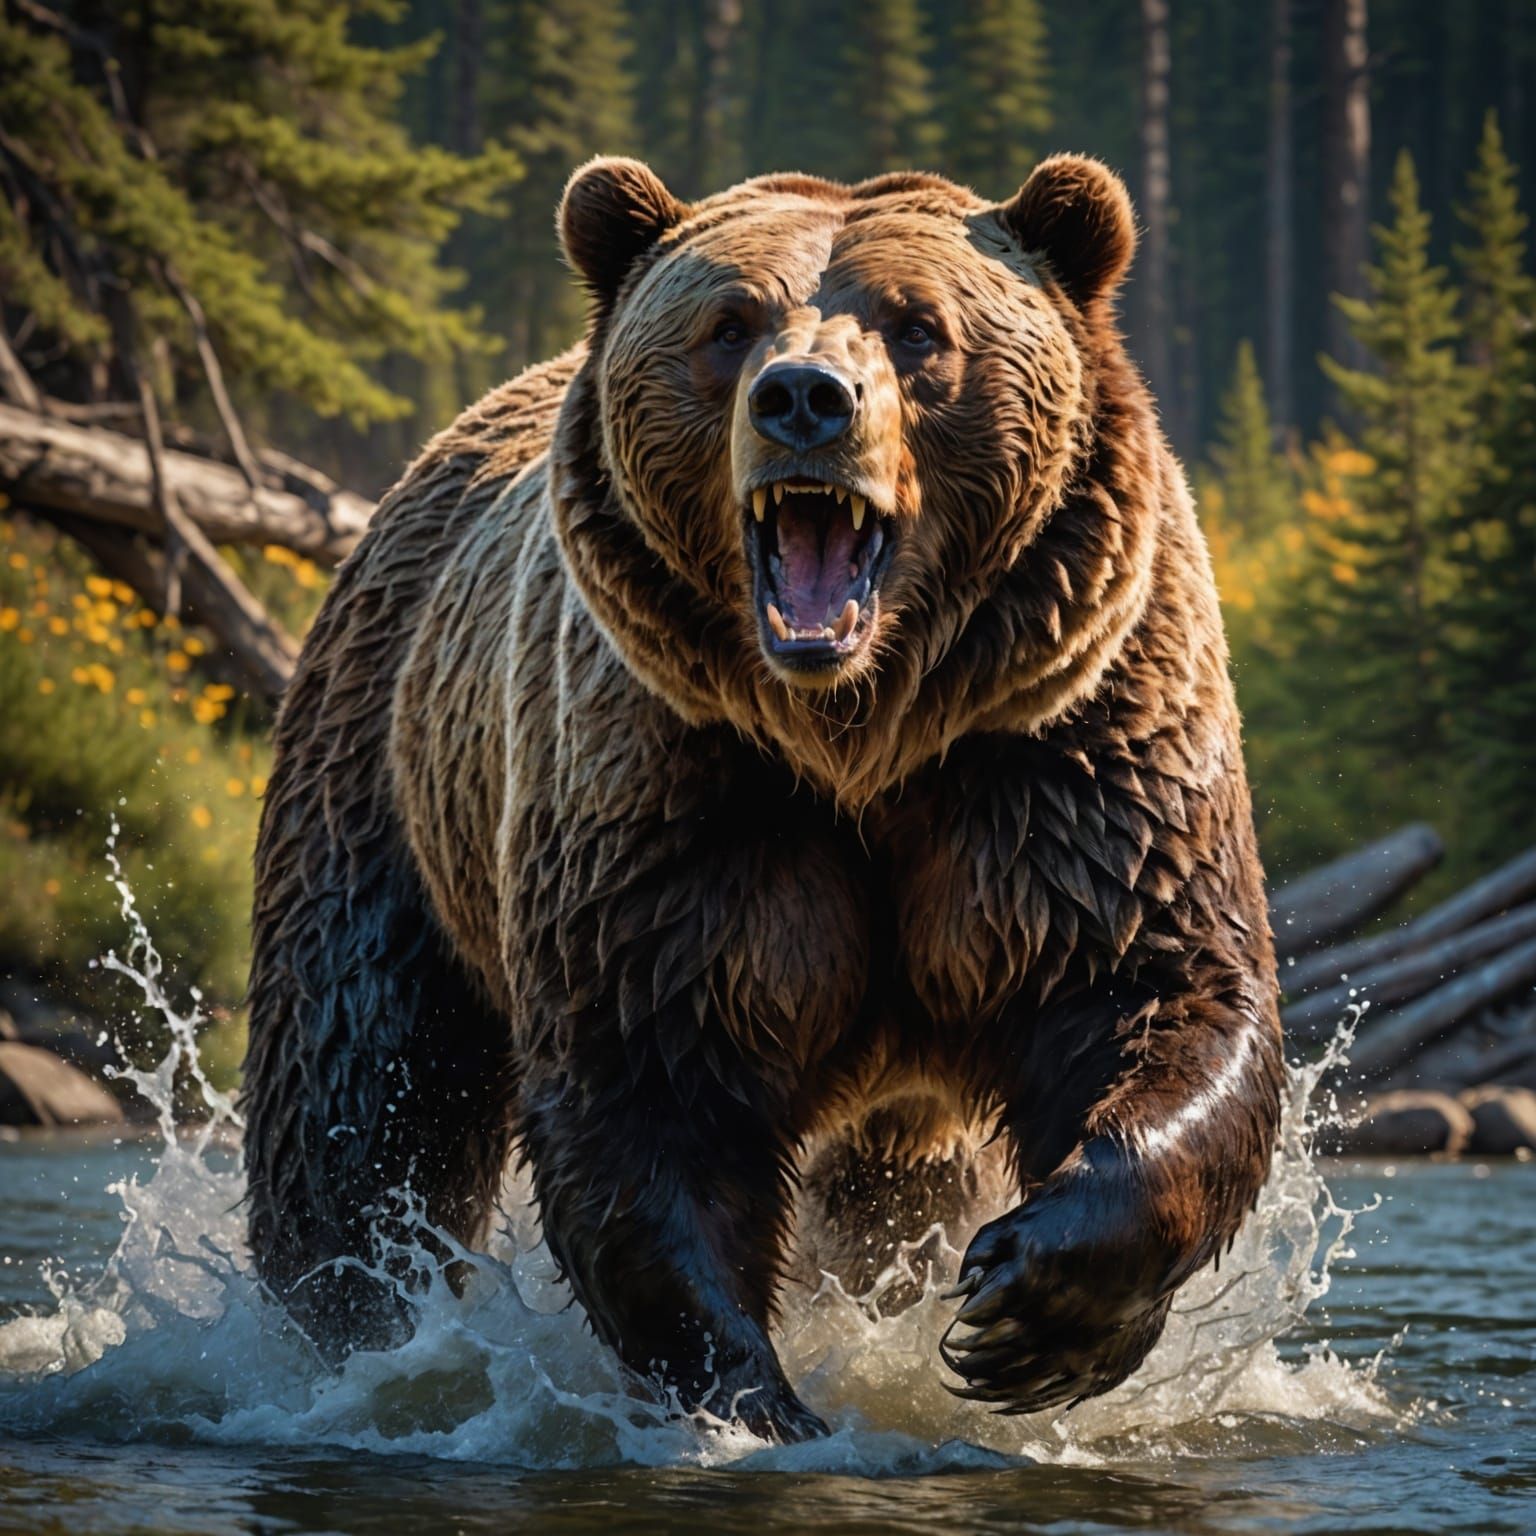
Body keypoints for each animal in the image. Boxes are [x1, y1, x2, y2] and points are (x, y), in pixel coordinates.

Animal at [242, 153, 1284, 1443]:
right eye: (728, 325)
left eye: (919, 327)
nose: (804, 399)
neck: (858, 735)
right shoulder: (679, 796)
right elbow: (653, 1088)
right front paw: (757, 1393)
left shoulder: (1056, 763)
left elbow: (1155, 992)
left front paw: (1028, 1307)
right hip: (388, 788)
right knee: (361, 1089)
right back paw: (354, 1324)